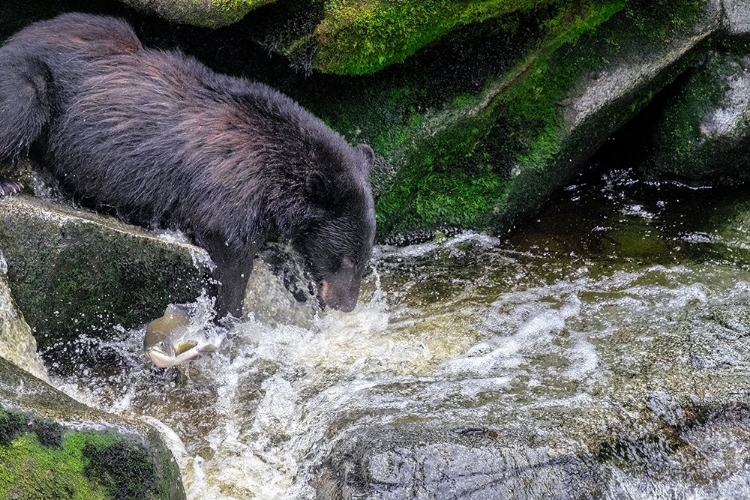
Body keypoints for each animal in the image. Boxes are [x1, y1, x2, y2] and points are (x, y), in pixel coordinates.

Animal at [0, 14, 376, 316]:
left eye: (365, 257)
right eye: (346, 258)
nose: (346, 305)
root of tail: (15, 37)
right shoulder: (228, 190)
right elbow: (231, 257)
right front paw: (228, 316)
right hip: (33, 79)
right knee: (23, 101)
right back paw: (8, 184)